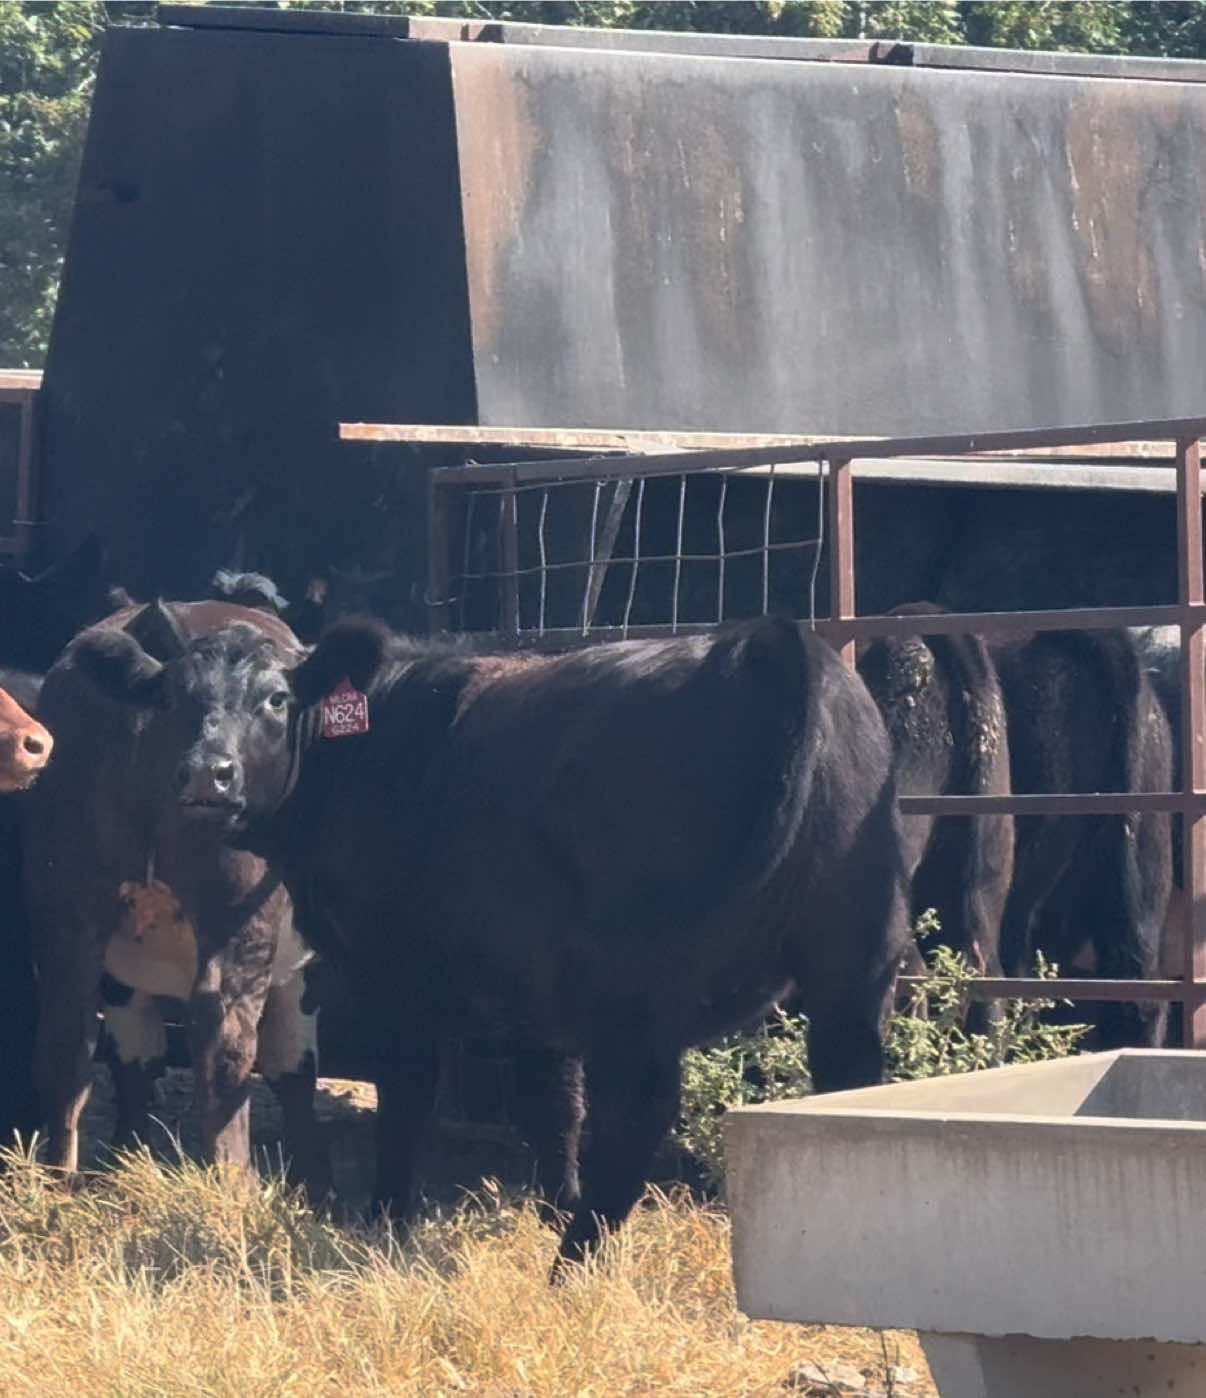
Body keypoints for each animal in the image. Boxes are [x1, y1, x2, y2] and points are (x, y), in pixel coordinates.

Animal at [23, 599, 329, 1195]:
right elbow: (292, 1062)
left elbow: (135, 1056)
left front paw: (125, 1160)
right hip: (236, 924)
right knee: (224, 1038)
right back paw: (234, 1188)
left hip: (69, 909)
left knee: (67, 1036)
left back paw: (58, 1181)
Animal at [66, 611, 910, 1265]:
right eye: (172, 700)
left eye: (276, 699)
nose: (206, 775)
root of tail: (769, 643)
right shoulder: (534, 982)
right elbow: (550, 1101)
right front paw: (548, 1199)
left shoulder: (397, 970)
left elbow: (409, 1093)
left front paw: (387, 1218)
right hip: (853, 963)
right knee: (846, 1081)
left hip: (645, 988)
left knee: (637, 1119)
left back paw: (574, 1265)